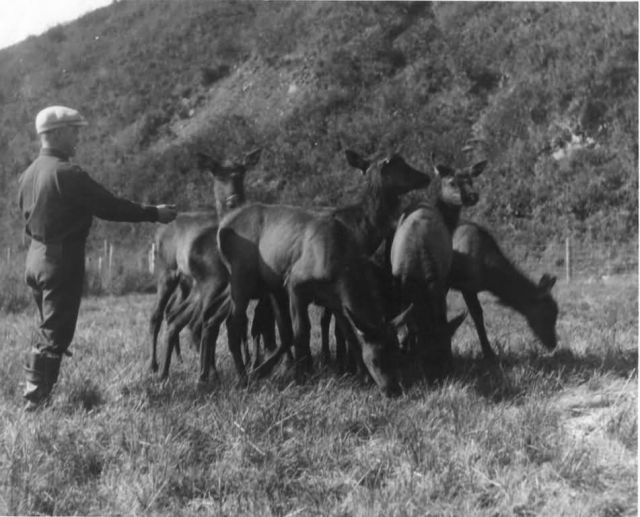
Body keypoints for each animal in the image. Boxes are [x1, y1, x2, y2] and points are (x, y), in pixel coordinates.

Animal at [148, 148, 262, 378]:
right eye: (217, 175)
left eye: (241, 173)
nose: (233, 200)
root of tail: (157, 233)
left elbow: (236, 323)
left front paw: (242, 364)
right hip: (166, 272)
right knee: (158, 315)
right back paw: (154, 366)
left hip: (186, 283)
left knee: (174, 314)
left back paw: (178, 362)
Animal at [448, 221, 558, 359]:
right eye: (548, 314)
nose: (553, 342)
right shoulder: (463, 286)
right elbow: (475, 315)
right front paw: (488, 353)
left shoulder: (470, 287)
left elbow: (477, 314)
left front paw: (489, 352)